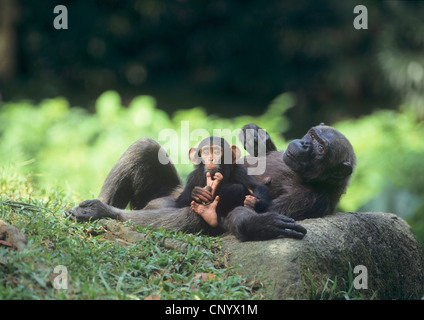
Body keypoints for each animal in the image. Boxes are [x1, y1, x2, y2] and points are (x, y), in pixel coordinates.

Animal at [67, 124, 354, 241]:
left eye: (320, 147)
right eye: (312, 135)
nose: (304, 144)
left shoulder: (309, 200)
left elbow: (237, 214)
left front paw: (259, 225)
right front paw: (257, 137)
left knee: (195, 215)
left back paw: (104, 213)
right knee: (145, 147)